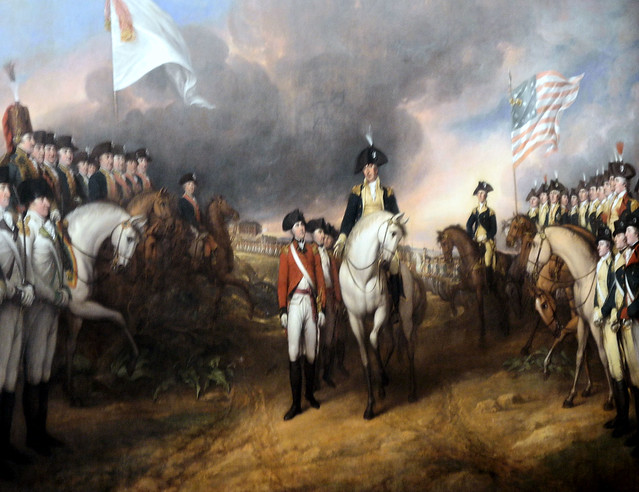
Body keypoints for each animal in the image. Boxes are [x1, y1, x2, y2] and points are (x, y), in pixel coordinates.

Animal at [61, 202, 145, 398]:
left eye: (136, 242)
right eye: (129, 238)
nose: (121, 267)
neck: (76, 250)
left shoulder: (75, 311)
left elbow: (71, 345)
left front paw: (70, 390)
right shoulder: (80, 306)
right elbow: (118, 317)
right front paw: (132, 361)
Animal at [340, 209, 420, 420]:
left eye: (399, 237)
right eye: (392, 233)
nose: (384, 264)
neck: (363, 278)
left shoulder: (381, 311)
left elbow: (373, 340)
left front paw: (383, 378)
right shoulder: (355, 318)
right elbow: (365, 356)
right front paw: (370, 405)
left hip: (404, 319)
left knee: (409, 347)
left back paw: (412, 391)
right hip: (387, 323)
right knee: (391, 342)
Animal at [528, 226, 616, 408]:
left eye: (533, 244)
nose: (527, 270)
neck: (586, 277)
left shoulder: (596, 325)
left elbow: (604, 356)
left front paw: (611, 397)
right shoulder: (583, 322)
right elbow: (579, 355)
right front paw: (571, 396)